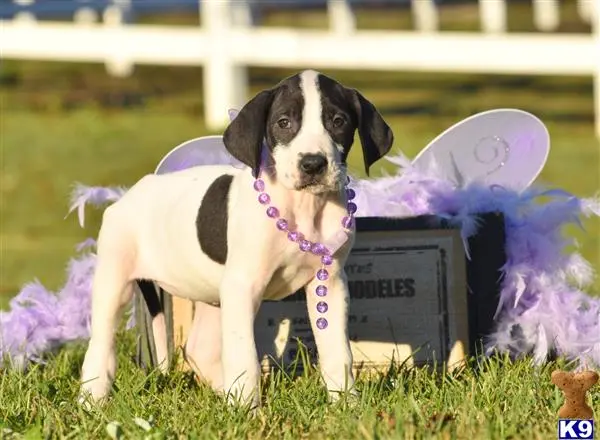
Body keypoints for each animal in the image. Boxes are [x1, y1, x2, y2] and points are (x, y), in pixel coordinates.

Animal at [78, 69, 394, 410]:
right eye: (284, 122)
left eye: (338, 121)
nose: (312, 164)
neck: (304, 208)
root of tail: (129, 194)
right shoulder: (244, 285)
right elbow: (245, 355)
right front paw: (249, 410)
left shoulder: (331, 283)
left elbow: (338, 353)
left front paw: (347, 404)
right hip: (115, 281)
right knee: (100, 347)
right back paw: (92, 401)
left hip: (214, 294)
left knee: (199, 349)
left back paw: (224, 395)